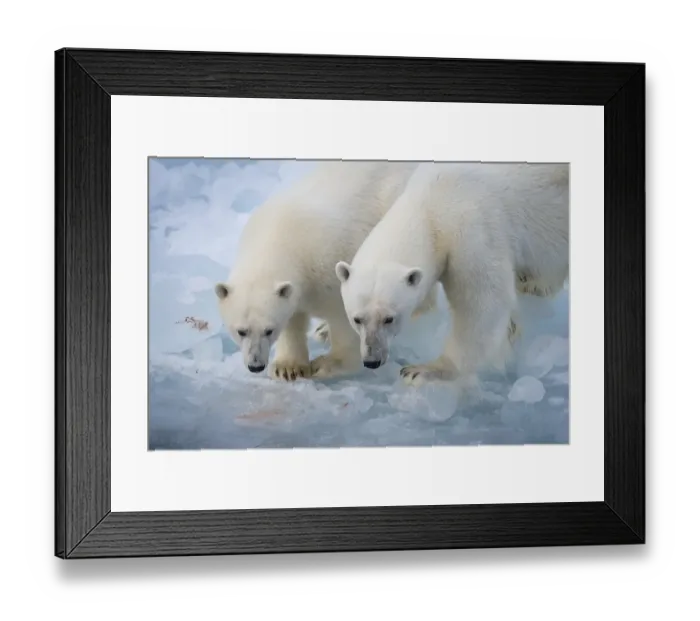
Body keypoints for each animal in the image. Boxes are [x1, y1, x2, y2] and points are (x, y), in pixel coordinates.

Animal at [214, 160, 421, 381]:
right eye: (241, 331)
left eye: (269, 330)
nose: (256, 366)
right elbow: (293, 317)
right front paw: (288, 367)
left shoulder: (329, 267)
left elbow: (344, 318)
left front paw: (325, 364)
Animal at [335, 162, 569, 387]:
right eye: (357, 319)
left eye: (389, 319)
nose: (372, 361)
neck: (431, 203)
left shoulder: (472, 228)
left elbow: (482, 300)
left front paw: (425, 370)